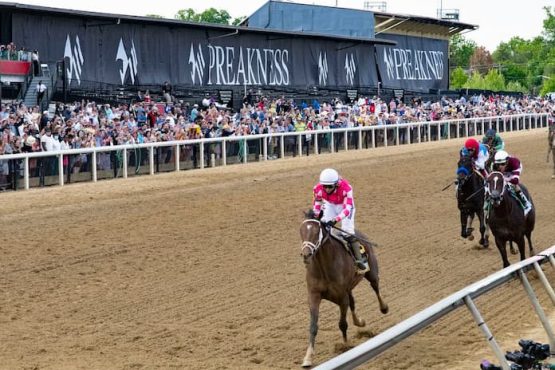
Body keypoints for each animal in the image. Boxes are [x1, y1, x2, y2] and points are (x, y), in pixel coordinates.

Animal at [300, 211, 386, 368]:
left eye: (316, 232)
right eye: (301, 231)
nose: (306, 254)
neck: (324, 267)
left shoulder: (341, 296)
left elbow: (342, 324)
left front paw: (346, 346)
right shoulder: (314, 295)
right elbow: (313, 326)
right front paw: (308, 357)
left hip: (371, 272)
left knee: (375, 287)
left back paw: (383, 307)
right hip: (349, 288)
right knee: (353, 302)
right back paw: (360, 322)